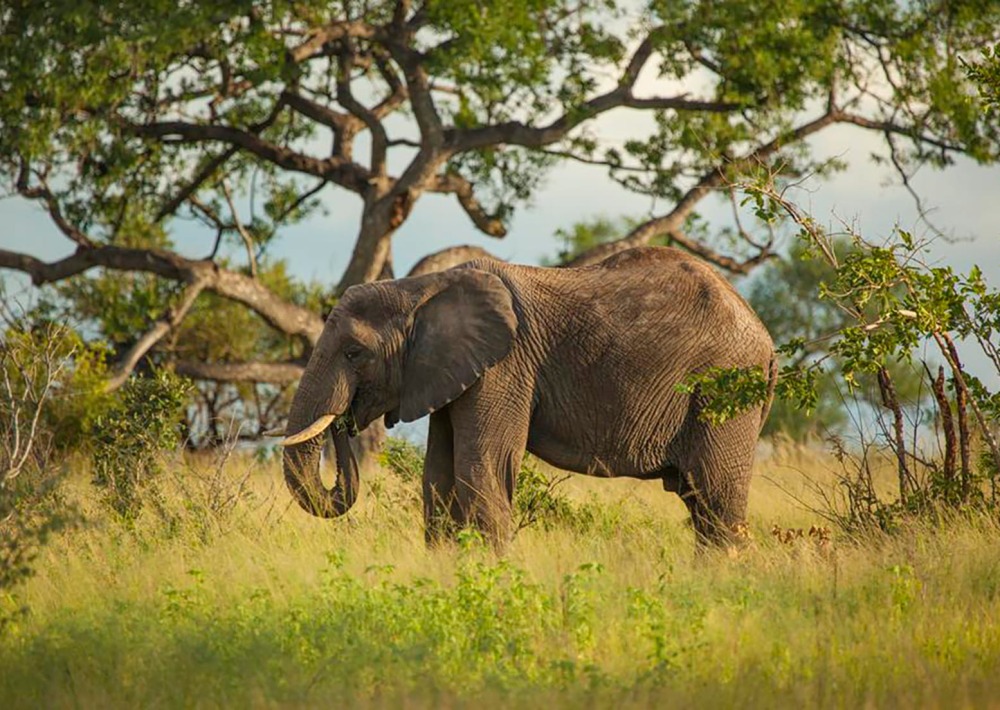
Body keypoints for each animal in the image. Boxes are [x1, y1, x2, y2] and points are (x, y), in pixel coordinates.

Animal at [278, 246, 776, 547]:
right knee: (701, 504)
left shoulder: (505, 367)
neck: (420, 288)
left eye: (354, 352)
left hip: (723, 391)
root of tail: (766, 340)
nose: (343, 422)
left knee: (716, 499)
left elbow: (481, 468)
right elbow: (437, 478)